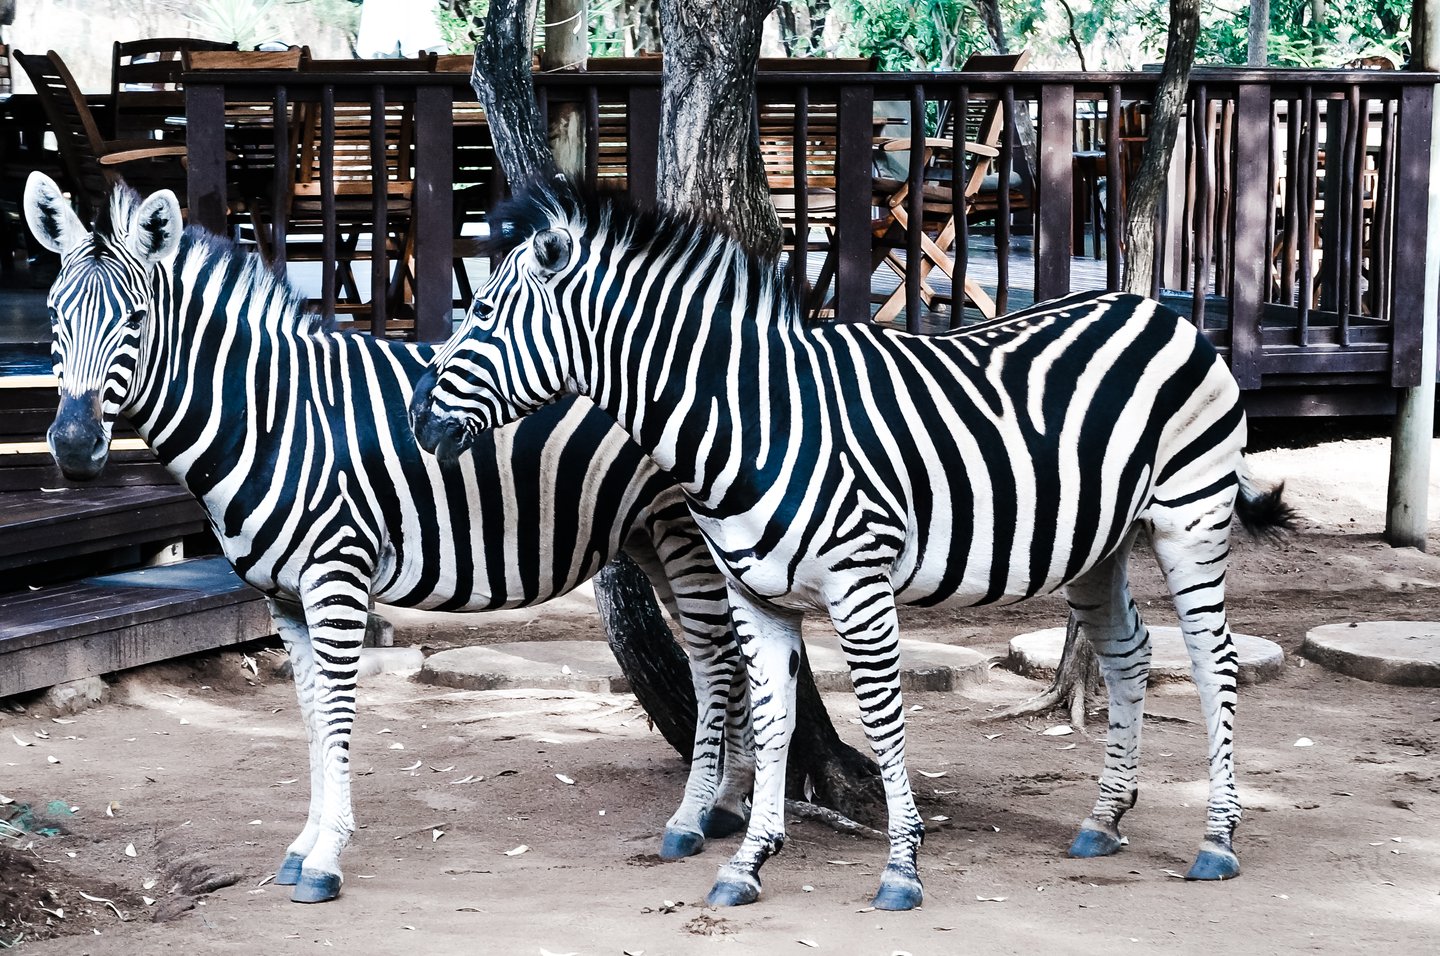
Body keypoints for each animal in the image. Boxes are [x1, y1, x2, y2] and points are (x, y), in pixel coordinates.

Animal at [21, 172, 755, 904]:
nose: (76, 447)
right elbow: (311, 715)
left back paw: (693, 818)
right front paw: (302, 845)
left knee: (716, 660)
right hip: (657, 535)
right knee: (729, 657)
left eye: (134, 321)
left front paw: (325, 859)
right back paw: (727, 805)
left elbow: (339, 713)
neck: (270, 417)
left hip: (688, 532)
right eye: (53, 317)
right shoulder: (283, 598)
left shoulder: (337, 574)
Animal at [409, 185, 1294, 912]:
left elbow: (883, 719)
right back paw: (1104, 819)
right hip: (1097, 543)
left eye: (481, 314)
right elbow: (771, 722)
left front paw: (902, 868)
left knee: (1213, 661)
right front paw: (747, 864)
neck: (752, 423)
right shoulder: (756, 595)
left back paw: (1217, 840)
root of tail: (1164, 311)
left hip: (1189, 516)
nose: (418, 419)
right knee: (1130, 654)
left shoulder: (860, 587)